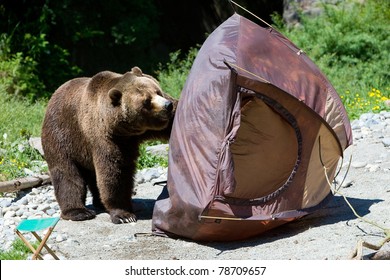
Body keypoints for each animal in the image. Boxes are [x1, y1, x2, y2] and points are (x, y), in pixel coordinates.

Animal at [41, 66, 178, 223]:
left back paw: (99, 203)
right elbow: (115, 172)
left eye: (158, 91)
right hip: (62, 137)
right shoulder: (105, 138)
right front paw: (124, 214)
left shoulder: (138, 133)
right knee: (68, 175)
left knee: (92, 177)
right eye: (146, 101)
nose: (168, 105)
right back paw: (79, 212)